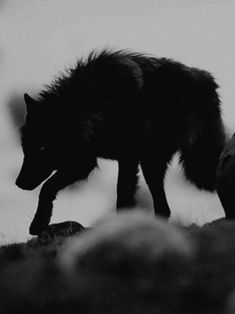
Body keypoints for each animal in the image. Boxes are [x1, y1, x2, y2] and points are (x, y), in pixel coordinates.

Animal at [14, 49, 226, 234]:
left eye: (43, 147)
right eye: (25, 148)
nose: (18, 183)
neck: (99, 104)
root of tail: (209, 81)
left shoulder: (124, 159)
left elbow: (121, 196)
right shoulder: (85, 161)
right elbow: (48, 187)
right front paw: (39, 223)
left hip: (173, 164)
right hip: (153, 165)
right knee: (163, 208)